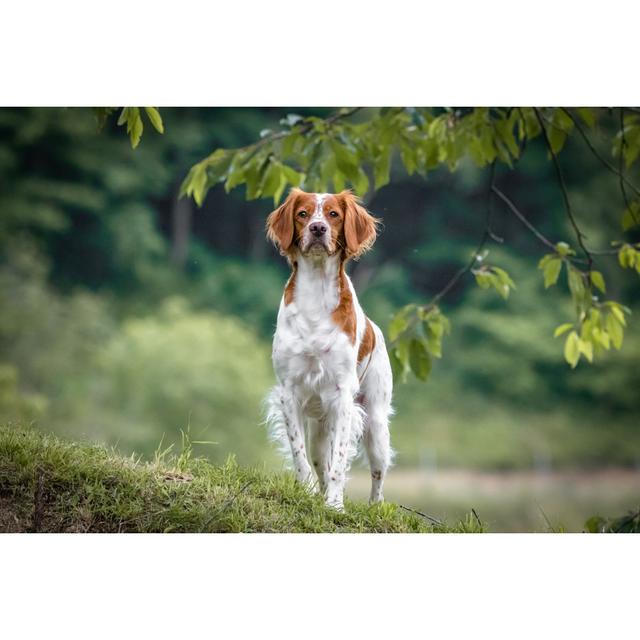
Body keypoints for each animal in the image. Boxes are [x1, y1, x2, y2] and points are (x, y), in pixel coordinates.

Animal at [262, 188, 392, 508]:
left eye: (333, 214)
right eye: (302, 214)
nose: (318, 229)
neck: (316, 294)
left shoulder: (343, 396)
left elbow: (340, 460)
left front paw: (335, 505)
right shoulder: (289, 392)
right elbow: (300, 455)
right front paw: (307, 493)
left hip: (376, 425)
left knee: (377, 474)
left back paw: (373, 506)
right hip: (320, 430)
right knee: (321, 460)